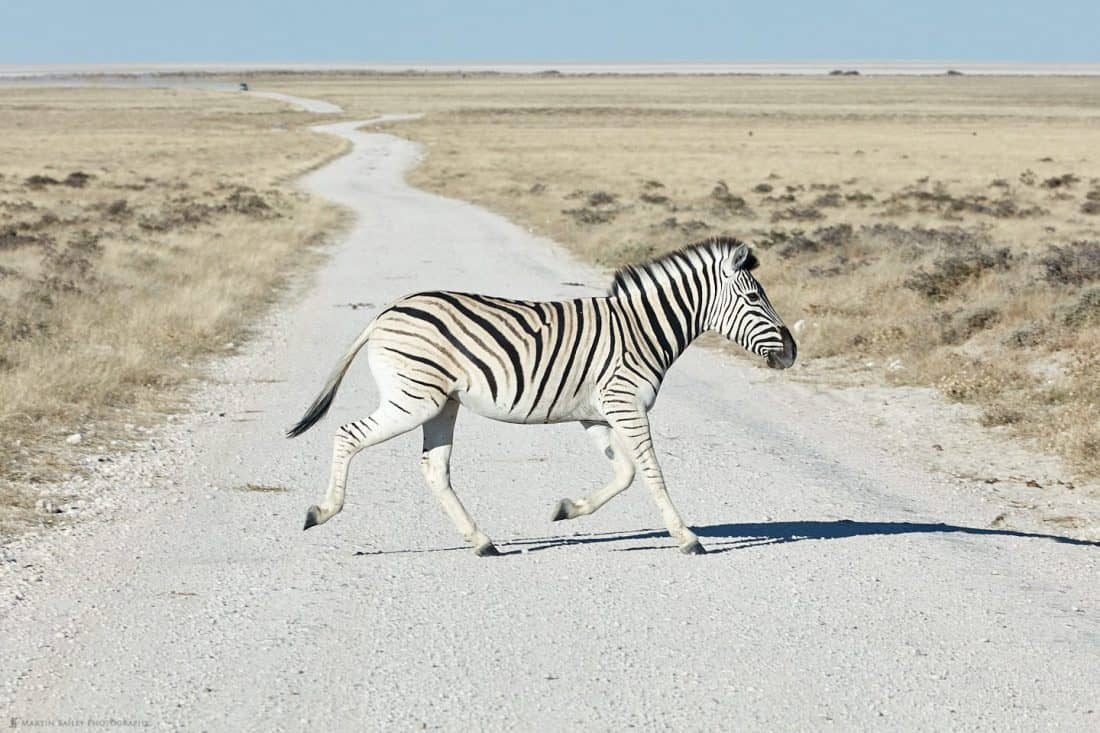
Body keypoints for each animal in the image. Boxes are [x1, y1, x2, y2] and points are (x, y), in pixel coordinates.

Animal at [288, 236, 796, 550]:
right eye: (755, 299)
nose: (792, 352)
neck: (641, 330)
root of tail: (384, 313)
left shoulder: (597, 413)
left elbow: (625, 473)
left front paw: (568, 509)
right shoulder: (625, 404)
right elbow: (651, 472)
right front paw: (688, 538)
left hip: (440, 403)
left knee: (434, 467)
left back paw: (482, 543)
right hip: (414, 399)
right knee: (348, 434)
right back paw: (322, 511)